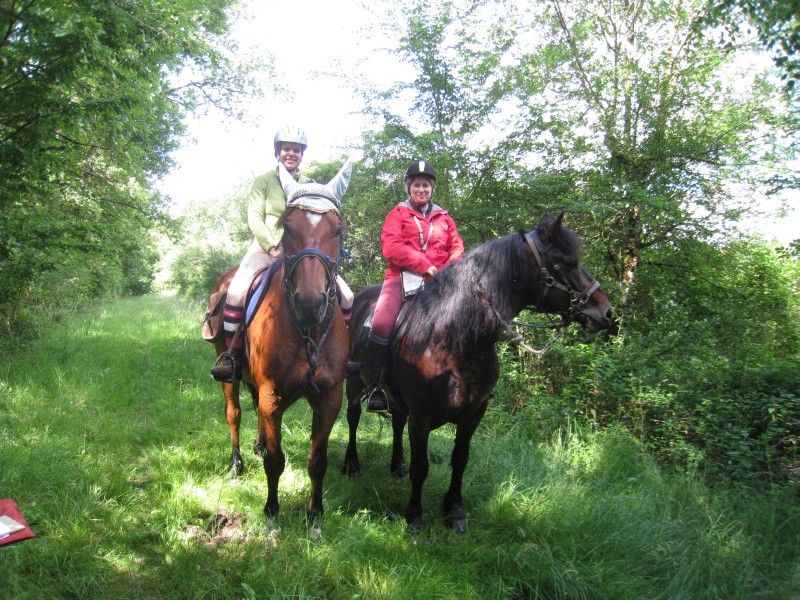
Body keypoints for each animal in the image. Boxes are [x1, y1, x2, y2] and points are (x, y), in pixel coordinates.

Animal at [344, 213, 616, 532]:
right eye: (566, 263)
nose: (606, 311)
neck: (454, 339)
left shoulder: (474, 414)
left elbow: (460, 459)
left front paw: (454, 511)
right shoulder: (421, 417)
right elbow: (421, 466)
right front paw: (414, 516)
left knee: (397, 422)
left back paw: (396, 466)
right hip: (353, 383)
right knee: (352, 417)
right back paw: (351, 464)